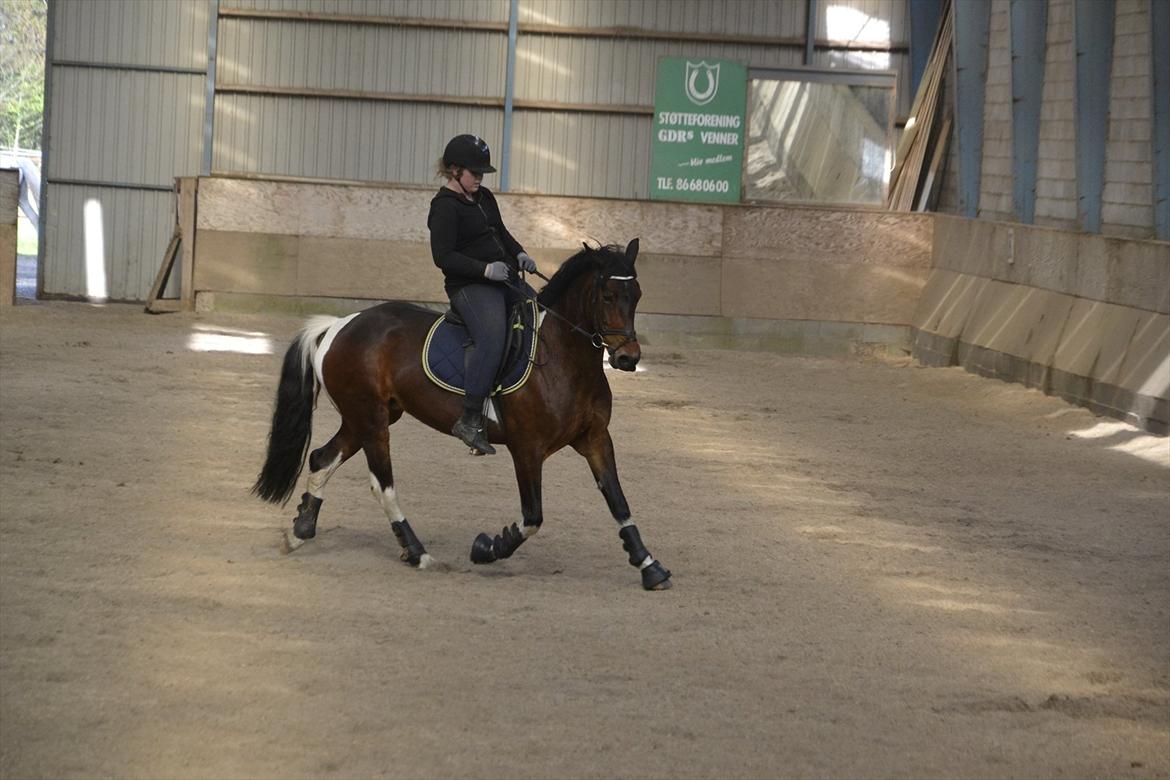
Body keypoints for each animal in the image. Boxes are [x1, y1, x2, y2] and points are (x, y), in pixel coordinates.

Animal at [251, 240, 673, 589]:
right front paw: (487, 547)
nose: (627, 358)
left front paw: (649, 566)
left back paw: (300, 531)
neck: (565, 357)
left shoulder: (596, 438)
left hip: (366, 418)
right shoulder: (527, 447)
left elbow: (618, 502)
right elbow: (532, 517)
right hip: (371, 421)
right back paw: (417, 552)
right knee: (382, 484)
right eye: (607, 295)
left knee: (322, 458)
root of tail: (338, 325)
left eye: (636, 294)